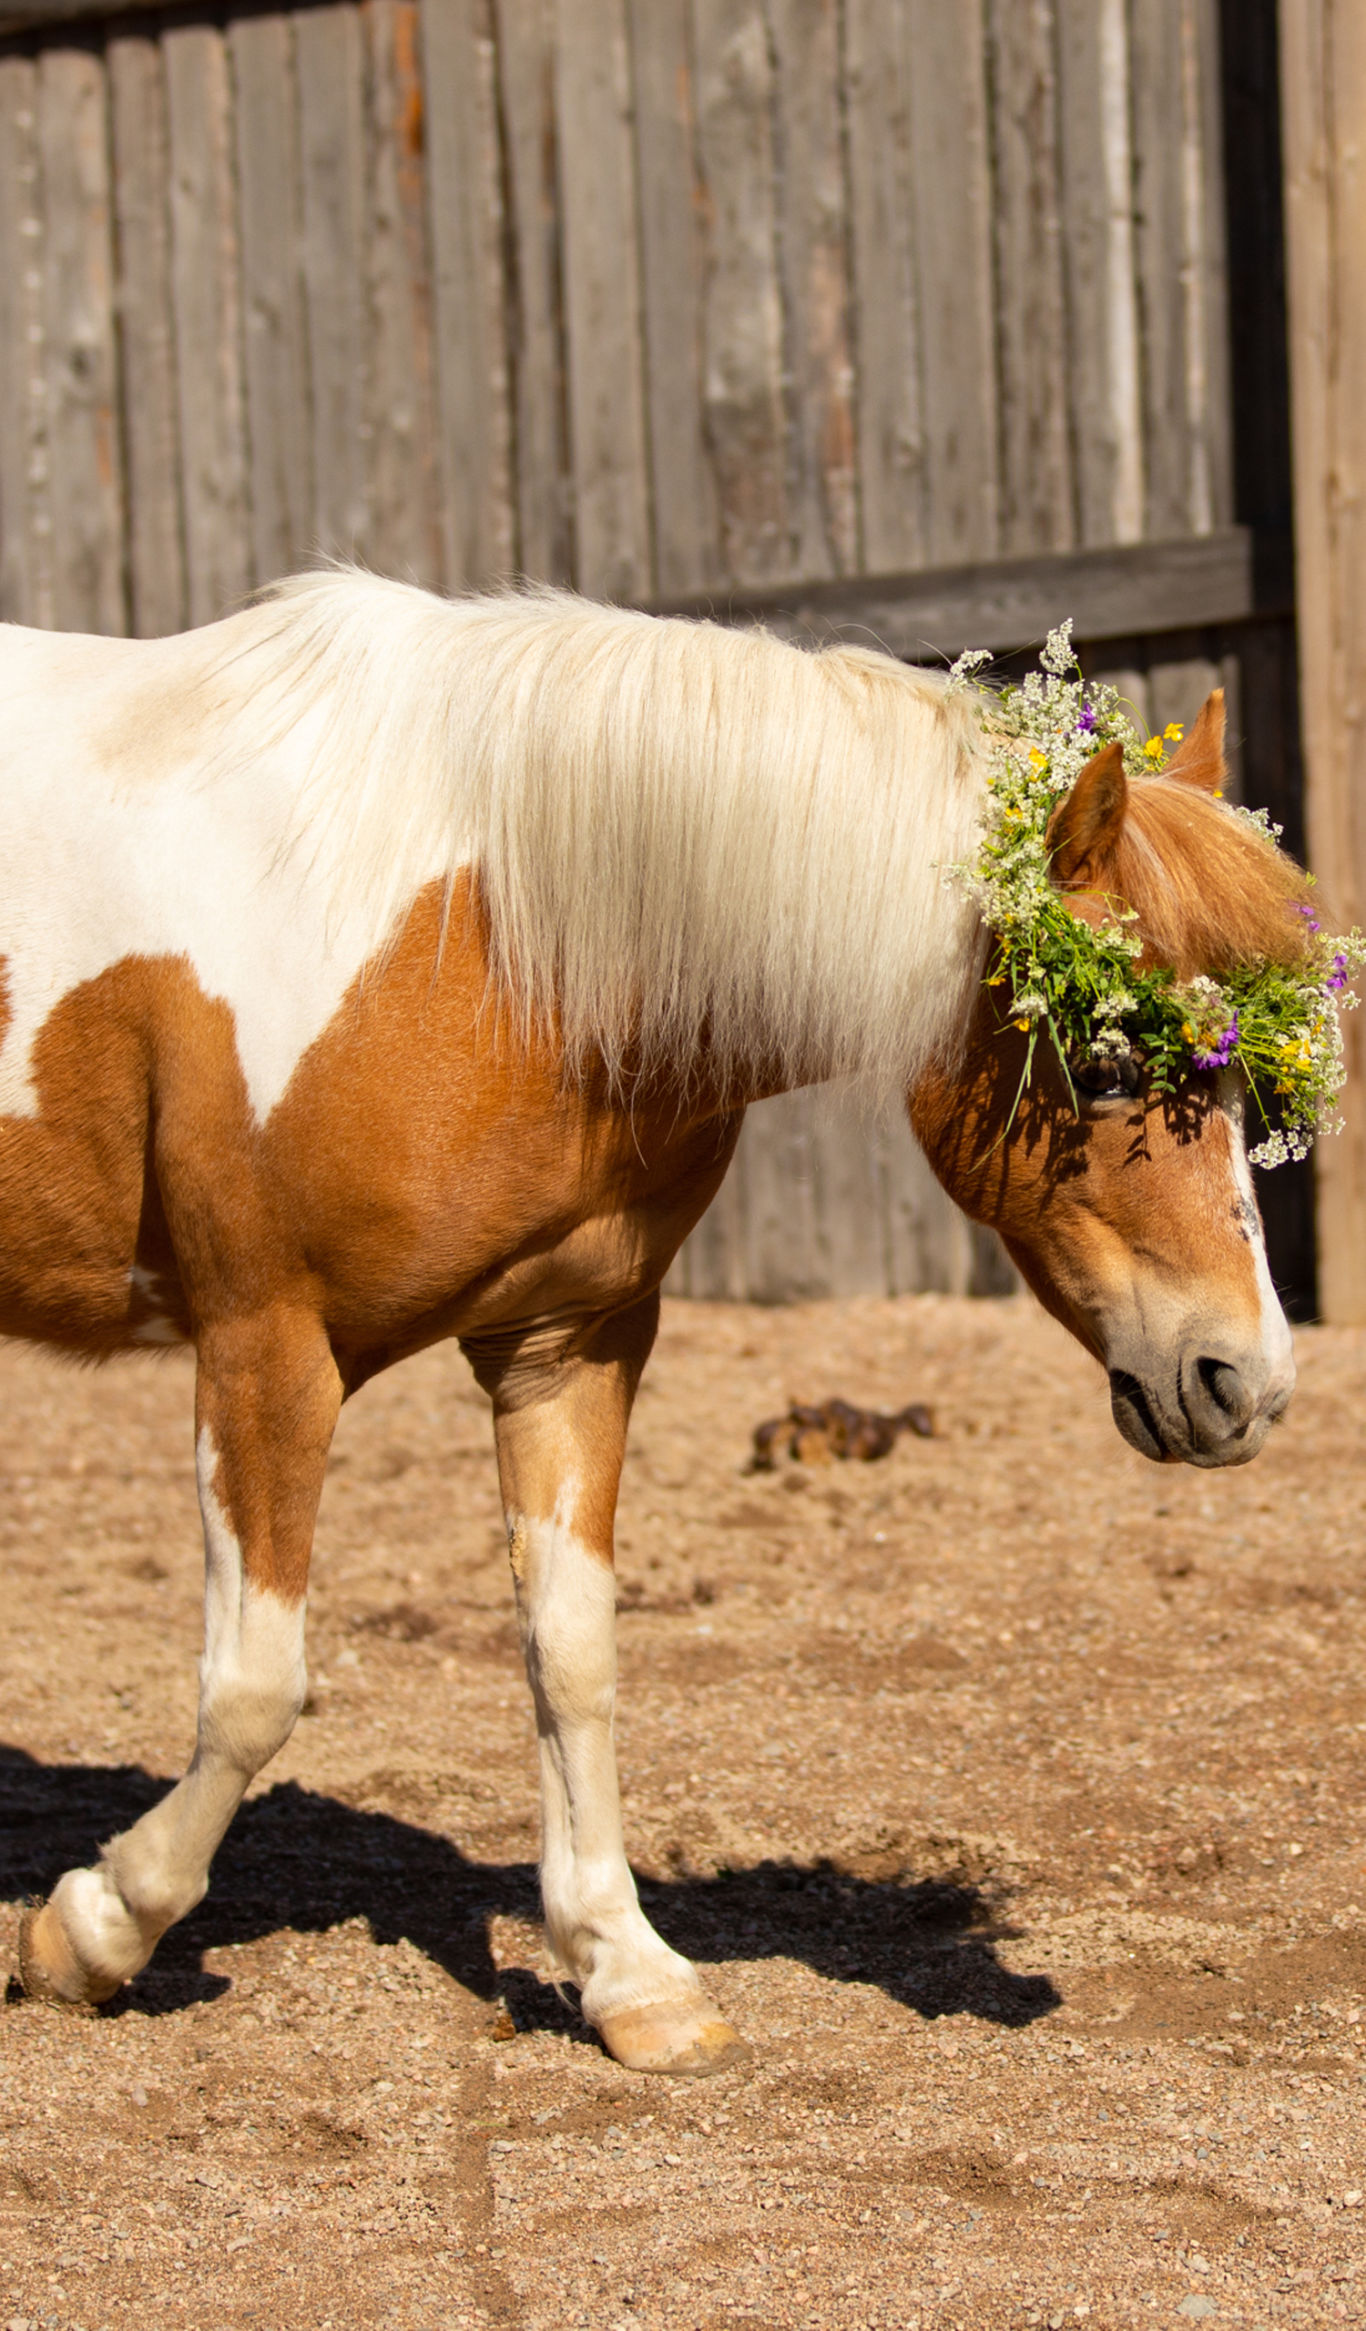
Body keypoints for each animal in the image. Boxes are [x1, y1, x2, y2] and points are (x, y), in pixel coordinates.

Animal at [2, 578, 1296, 2079]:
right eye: (1100, 1060)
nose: (1245, 1381)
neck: (486, 925)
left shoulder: (568, 1342)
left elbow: (572, 1653)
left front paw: (626, 1971)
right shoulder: (264, 1347)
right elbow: (257, 1685)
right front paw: (95, 1928)